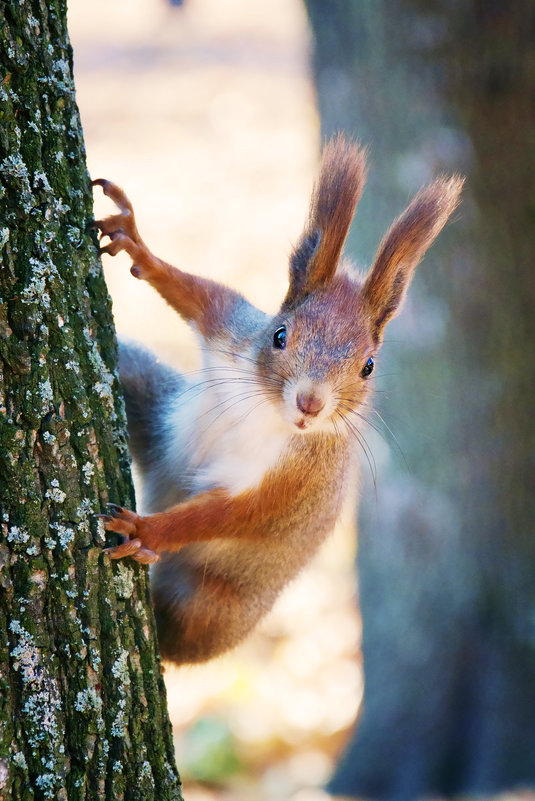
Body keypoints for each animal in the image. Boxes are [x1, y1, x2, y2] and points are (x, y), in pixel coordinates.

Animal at [92, 138, 460, 664]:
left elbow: (224, 515)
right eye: (279, 335)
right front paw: (134, 240)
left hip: (215, 603)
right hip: (150, 400)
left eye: (368, 367)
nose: (311, 403)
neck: (267, 412)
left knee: (183, 641)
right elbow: (196, 294)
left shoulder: (295, 484)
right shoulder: (232, 329)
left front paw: (146, 532)